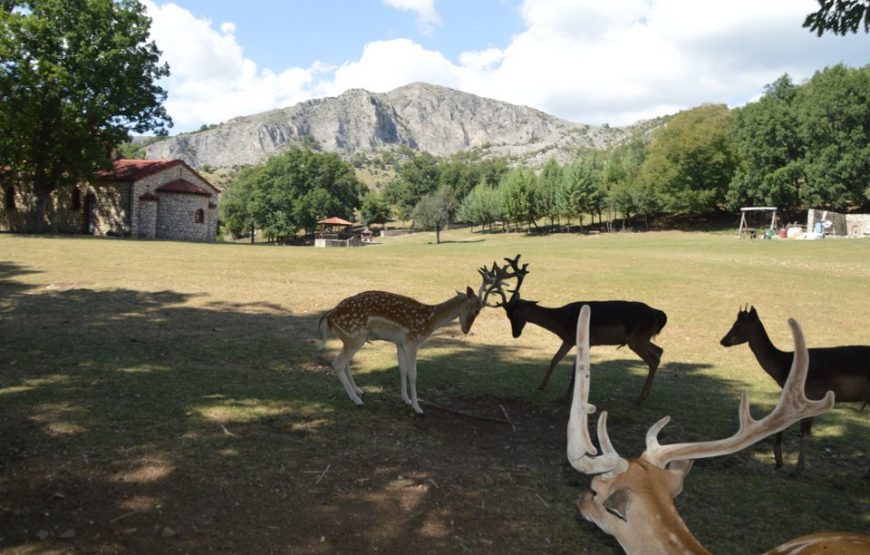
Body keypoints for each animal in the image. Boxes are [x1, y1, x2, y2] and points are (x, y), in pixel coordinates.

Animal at [320, 264, 510, 412]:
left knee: (345, 363)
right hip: (355, 337)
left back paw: (359, 391)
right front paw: (417, 407)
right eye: (476, 310)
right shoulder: (413, 341)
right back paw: (357, 400)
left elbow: (402, 369)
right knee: (338, 363)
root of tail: (329, 316)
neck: (429, 321)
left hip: (349, 339)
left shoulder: (400, 342)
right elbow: (413, 373)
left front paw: (406, 399)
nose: (465, 329)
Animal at [490, 255, 668, 404]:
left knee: (653, 359)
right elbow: (555, 358)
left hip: (636, 338)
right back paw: (645, 395)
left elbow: (575, 366)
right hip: (641, 338)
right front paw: (541, 386)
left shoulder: (582, 340)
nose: (515, 334)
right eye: (507, 314)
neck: (561, 322)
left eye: (514, 313)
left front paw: (565, 397)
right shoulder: (568, 340)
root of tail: (659, 315)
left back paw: (639, 399)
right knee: (659, 351)